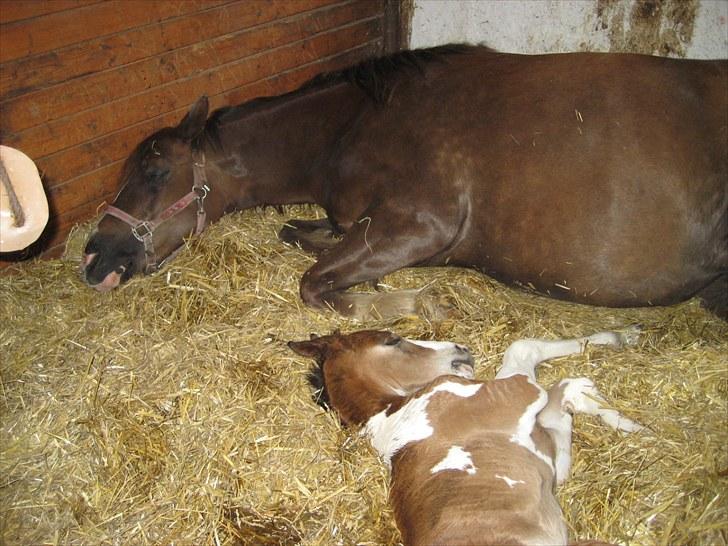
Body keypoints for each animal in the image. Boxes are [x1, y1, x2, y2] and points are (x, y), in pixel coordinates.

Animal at [81, 46, 728, 320]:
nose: (93, 259)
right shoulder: (357, 222)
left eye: (156, 173)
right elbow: (299, 236)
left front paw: (413, 302)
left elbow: (315, 286)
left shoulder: (422, 224)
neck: (354, 125)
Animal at [290, 328, 644, 544]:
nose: (462, 350)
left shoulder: (549, 460)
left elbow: (561, 409)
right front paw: (624, 417)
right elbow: (528, 354)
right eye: (391, 340)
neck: (393, 416)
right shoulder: (515, 394)